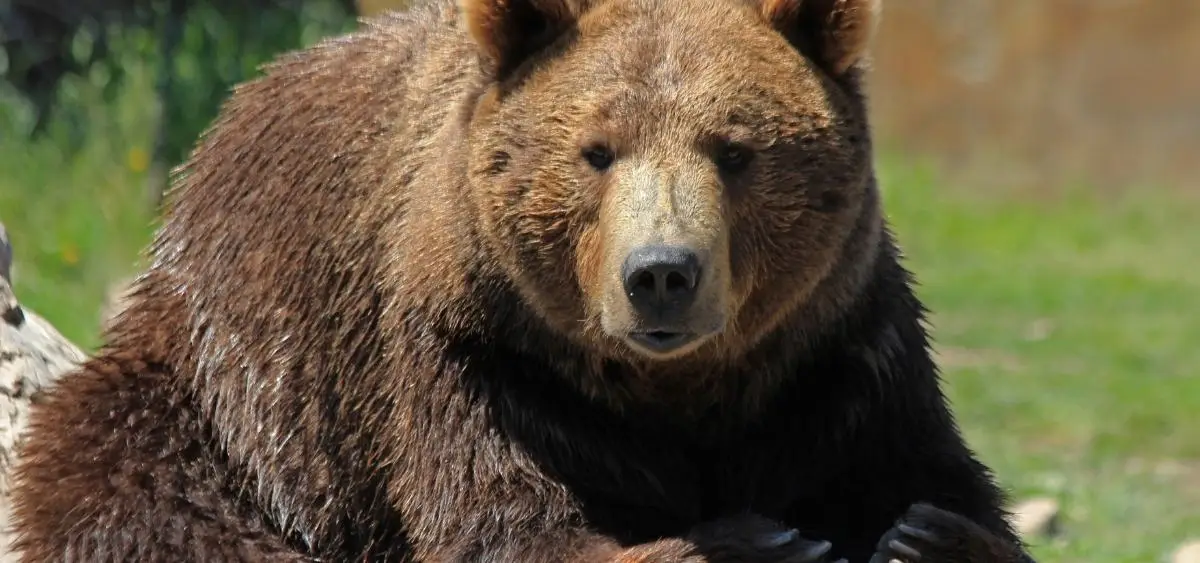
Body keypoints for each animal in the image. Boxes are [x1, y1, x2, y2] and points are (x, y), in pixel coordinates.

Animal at [8, 0, 1038, 561]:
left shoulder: (837, 353)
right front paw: (758, 542)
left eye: (736, 150)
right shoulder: (473, 356)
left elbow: (939, 482)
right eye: (597, 150)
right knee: (137, 494)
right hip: (232, 391)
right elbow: (506, 525)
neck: (678, 392)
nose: (661, 273)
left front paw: (921, 536)